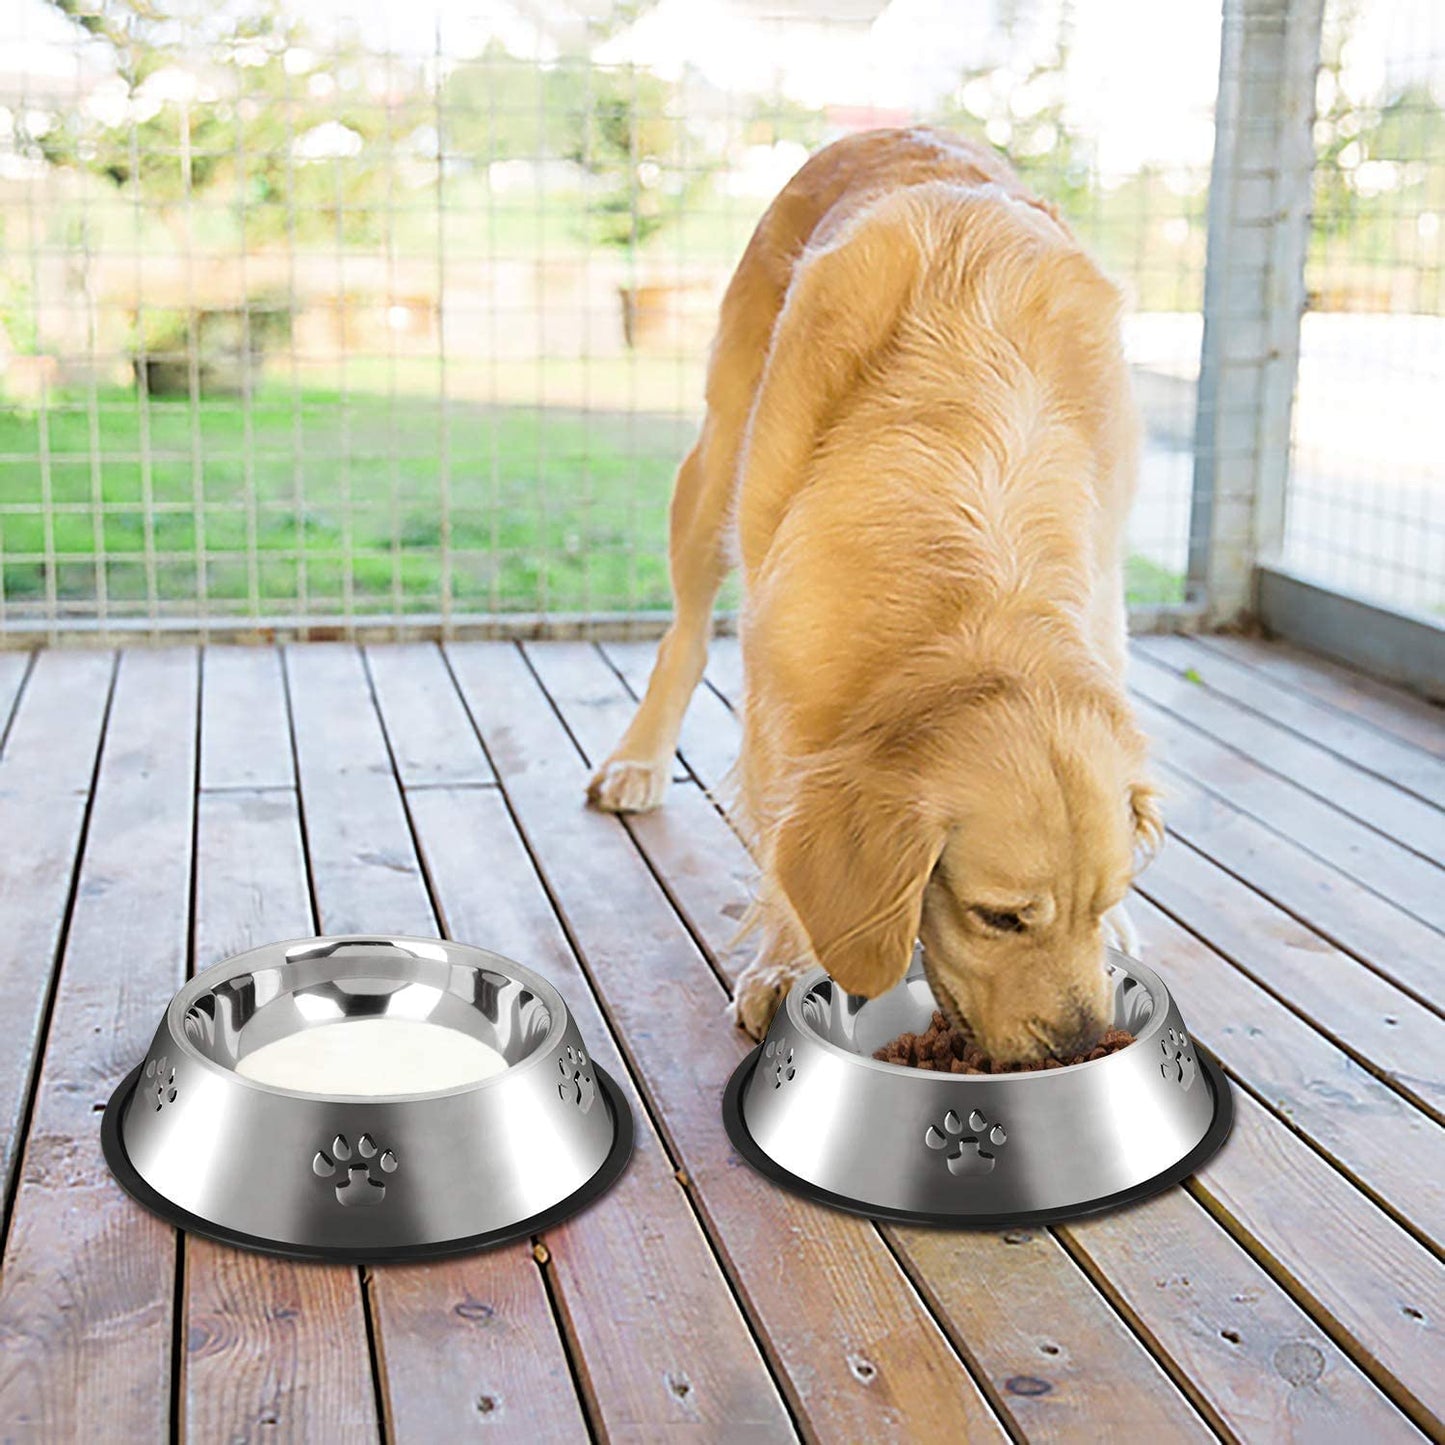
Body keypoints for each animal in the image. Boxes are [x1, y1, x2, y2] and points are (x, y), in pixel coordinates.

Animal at [586, 127, 1161, 1063]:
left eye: (1104, 896)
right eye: (999, 917)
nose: (1084, 1046)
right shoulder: (781, 672)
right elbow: (781, 822)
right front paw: (784, 963)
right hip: (715, 463)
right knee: (683, 634)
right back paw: (637, 758)